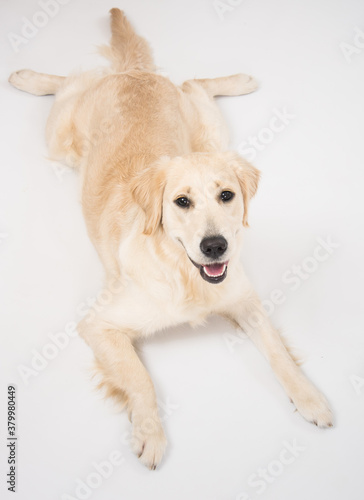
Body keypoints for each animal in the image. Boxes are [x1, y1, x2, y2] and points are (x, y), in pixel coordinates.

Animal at [8, 7, 332, 468]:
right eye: (181, 202)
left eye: (226, 195)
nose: (215, 246)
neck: (183, 272)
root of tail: (135, 72)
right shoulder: (100, 324)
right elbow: (140, 378)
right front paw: (149, 433)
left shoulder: (245, 300)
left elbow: (278, 352)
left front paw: (310, 399)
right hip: (60, 138)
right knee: (72, 81)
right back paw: (26, 76)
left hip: (208, 132)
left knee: (193, 84)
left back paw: (240, 80)